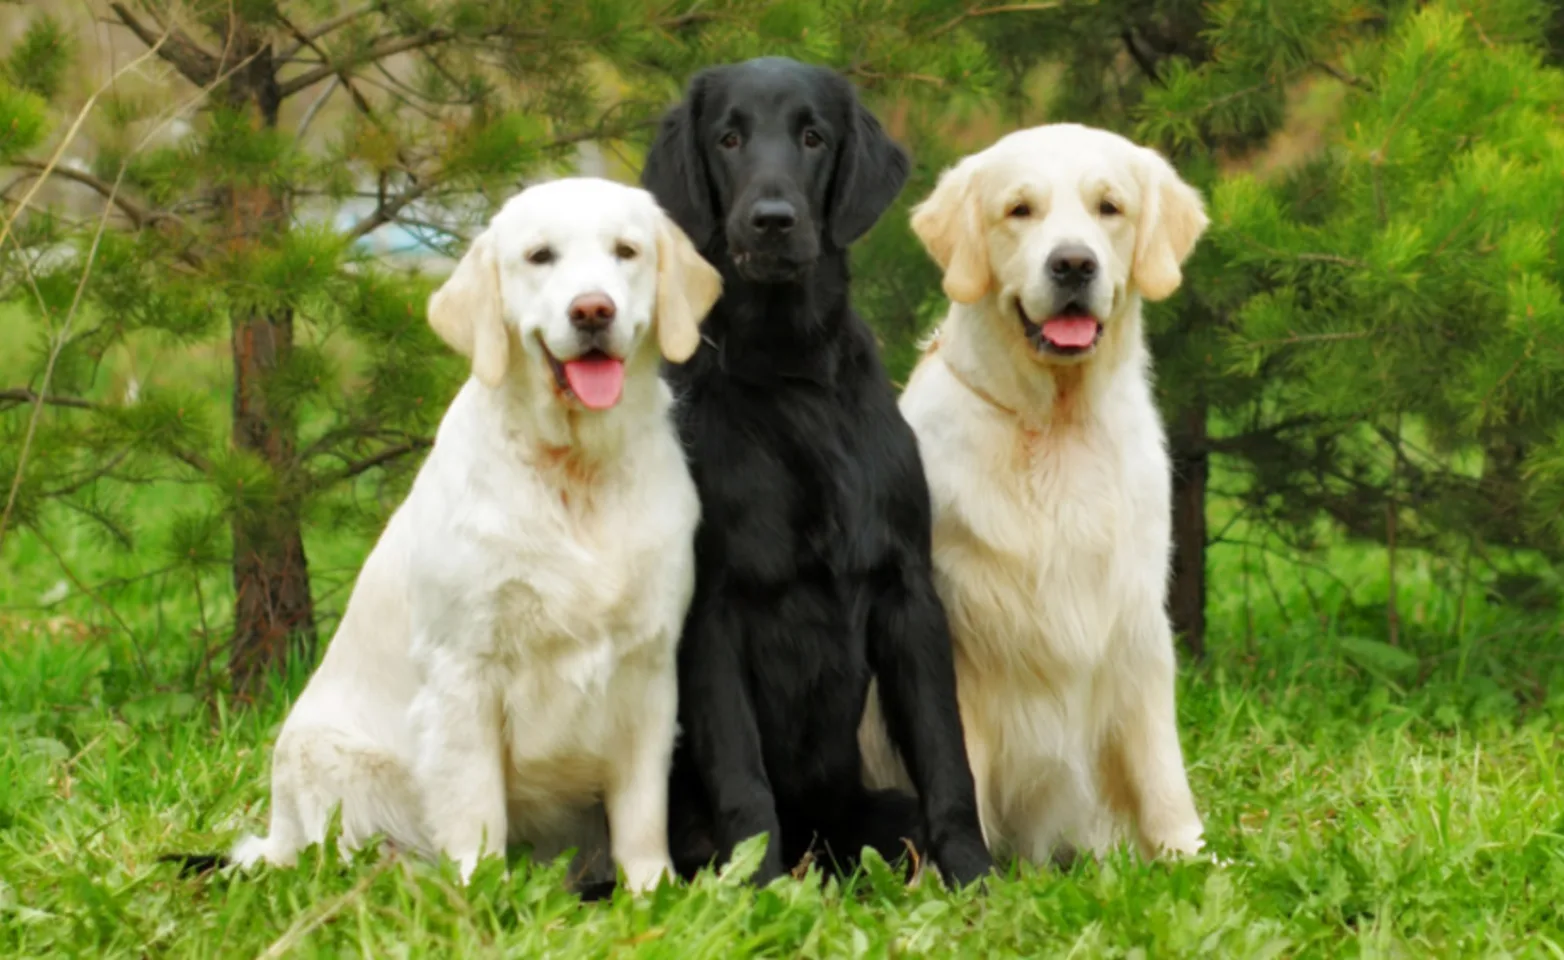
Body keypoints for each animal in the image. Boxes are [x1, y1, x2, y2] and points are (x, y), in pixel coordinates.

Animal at [226, 179, 719, 894]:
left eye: (626, 251)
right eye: (540, 256)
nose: (592, 310)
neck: (573, 472)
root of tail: (277, 836)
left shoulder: (649, 666)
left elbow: (642, 810)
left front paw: (651, 892)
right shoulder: (464, 669)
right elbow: (474, 802)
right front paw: (478, 888)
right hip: (323, 755)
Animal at [638, 58, 988, 888]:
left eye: (812, 137)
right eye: (728, 137)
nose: (771, 220)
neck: (788, 374)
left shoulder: (908, 590)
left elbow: (946, 752)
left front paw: (975, 874)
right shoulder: (712, 609)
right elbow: (743, 778)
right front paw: (758, 890)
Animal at [857, 124, 1207, 869]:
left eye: (1110, 207)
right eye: (1019, 210)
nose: (1073, 264)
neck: (1054, 426)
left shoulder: (1136, 626)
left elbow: (1160, 766)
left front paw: (1188, 854)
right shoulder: (957, 647)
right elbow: (962, 767)